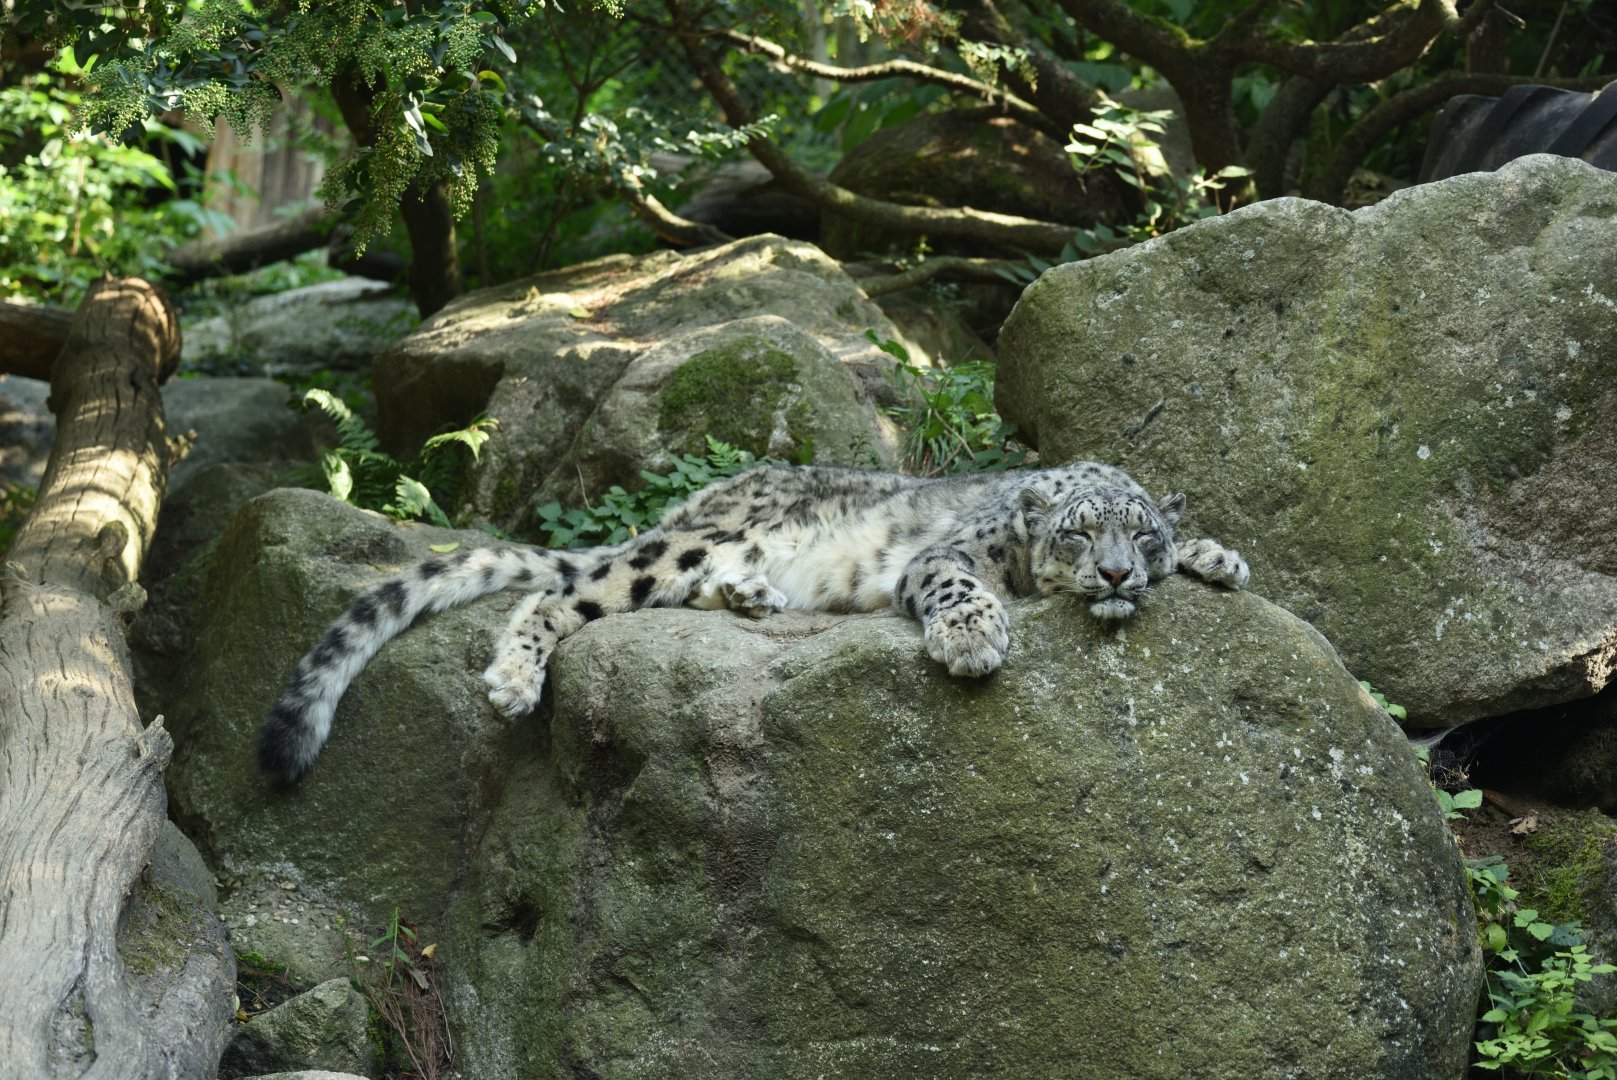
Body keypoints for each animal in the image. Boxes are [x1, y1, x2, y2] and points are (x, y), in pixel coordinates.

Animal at [258, 461, 1250, 781]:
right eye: (1079, 533)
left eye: (1141, 532)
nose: (1117, 573)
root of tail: (695, 502)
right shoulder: (947, 557)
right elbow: (957, 586)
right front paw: (974, 640)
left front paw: (1219, 558)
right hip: (667, 553)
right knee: (560, 595)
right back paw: (512, 679)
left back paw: (754, 598)